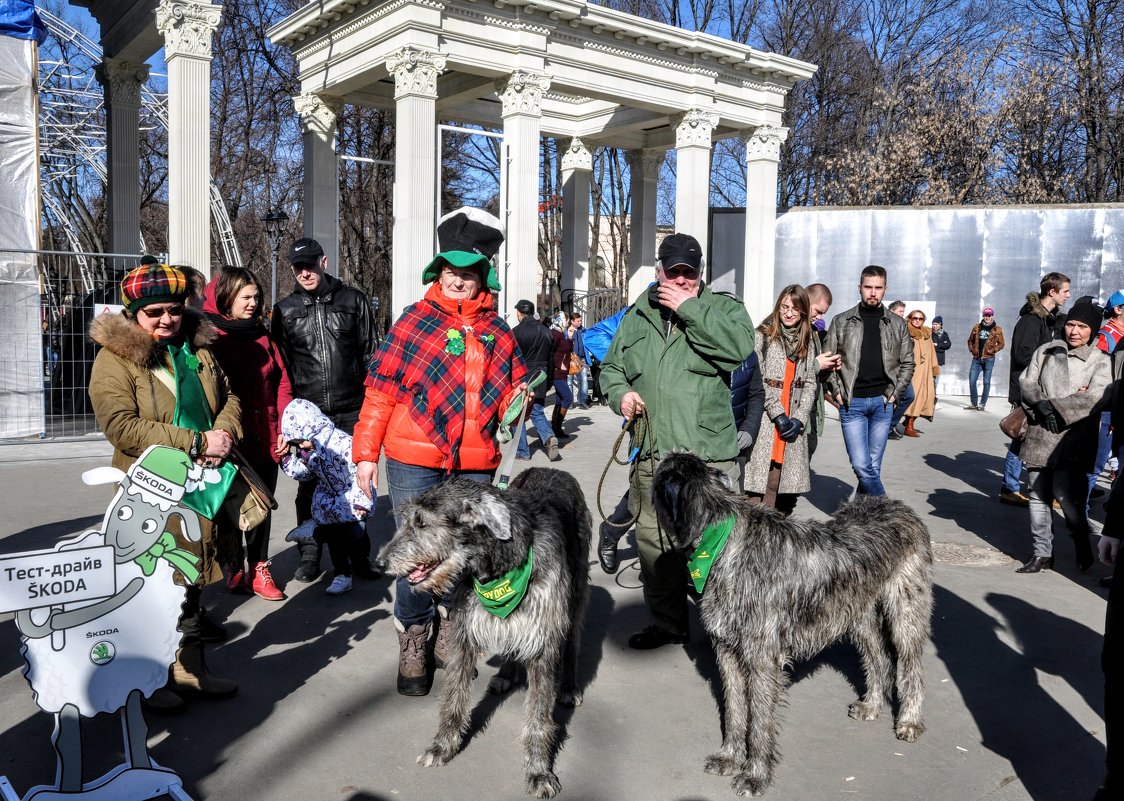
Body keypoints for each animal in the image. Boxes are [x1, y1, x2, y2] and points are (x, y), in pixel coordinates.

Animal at [377, 465, 593, 795]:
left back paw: (568, 686)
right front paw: (442, 746)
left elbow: (538, 716)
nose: (379, 563)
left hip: (574, 593)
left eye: (422, 522)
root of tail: (552, 468)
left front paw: (539, 771)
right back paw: (505, 674)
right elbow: (453, 696)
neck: (502, 567)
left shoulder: (542, 636)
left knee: (572, 641)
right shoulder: (465, 633)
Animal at [651, 449, 930, 795]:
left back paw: (909, 720)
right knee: (878, 657)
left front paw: (756, 775)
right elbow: (734, 708)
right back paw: (873, 705)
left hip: (907, 609)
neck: (720, 539)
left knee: (910, 662)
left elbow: (759, 720)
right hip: (857, 611)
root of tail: (899, 506)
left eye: (657, 478)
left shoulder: (762, 658)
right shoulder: (727, 649)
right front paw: (729, 757)